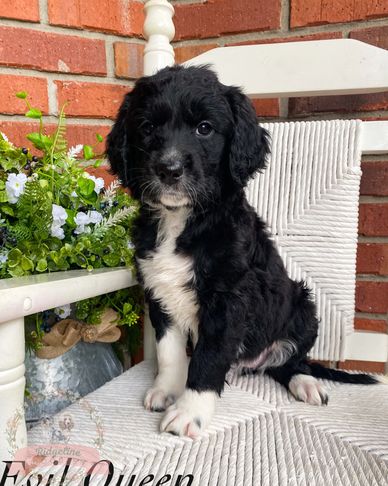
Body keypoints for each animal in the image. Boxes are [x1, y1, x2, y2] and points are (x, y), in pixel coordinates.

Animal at [108, 63, 378, 436]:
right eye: (147, 128)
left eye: (204, 128)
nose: (168, 169)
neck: (183, 220)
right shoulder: (159, 291)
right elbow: (169, 351)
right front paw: (167, 390)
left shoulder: (228, 299)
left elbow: (208, 357)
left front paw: (189, 412)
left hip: (303, 307)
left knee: (292, 361)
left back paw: (306, 383)